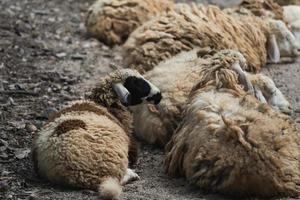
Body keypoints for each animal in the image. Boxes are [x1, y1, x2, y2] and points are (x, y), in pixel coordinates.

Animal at [32, 69, 162, 200]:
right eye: (136, 83)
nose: (159, 95)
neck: (102, 104)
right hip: (112, 160)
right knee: (116, 179)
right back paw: (131, 174)